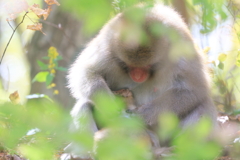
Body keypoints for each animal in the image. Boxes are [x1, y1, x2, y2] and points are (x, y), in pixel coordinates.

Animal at [66, 3, 218, 159]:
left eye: (148, 66)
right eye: (128, 65)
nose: (137, 76)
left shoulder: (181, 46)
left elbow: (194, 88)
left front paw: (142, 115)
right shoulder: (106, 45)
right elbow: (86, 71)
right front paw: (110, 106)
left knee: (202, 105)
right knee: (85, 103)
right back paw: (84, 152)